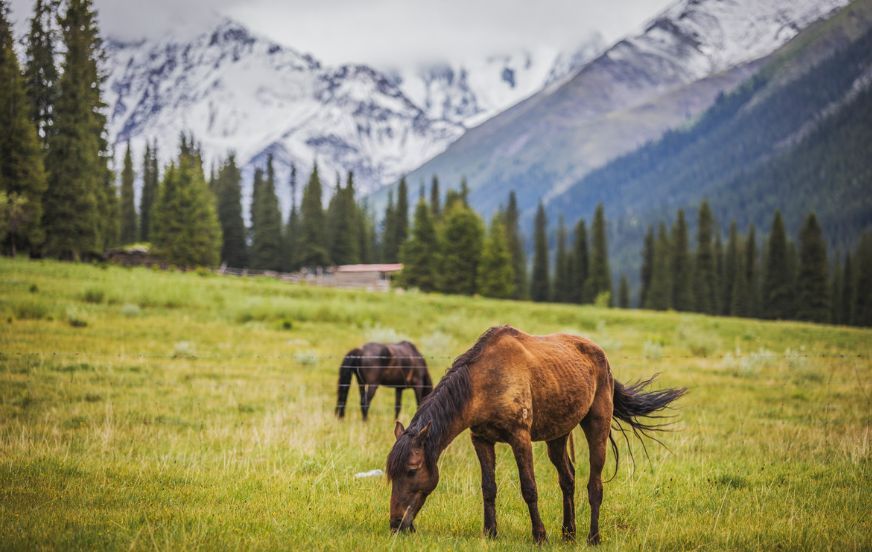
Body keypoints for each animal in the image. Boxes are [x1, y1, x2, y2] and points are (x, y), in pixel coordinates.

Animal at [384, 326, 684, 544]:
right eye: (391, 474)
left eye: (412, 470)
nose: (396, 524)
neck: (483, 383)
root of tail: (601, 355)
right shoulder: (481, 439)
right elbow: (488, 488)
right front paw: (490, 533)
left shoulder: (520, 437)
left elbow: (529, 488)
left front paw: (539, 535)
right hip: (557, 436)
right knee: (568, 479)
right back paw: (568, 533)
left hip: (597, 426)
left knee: (594, 484)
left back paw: (593, 537)